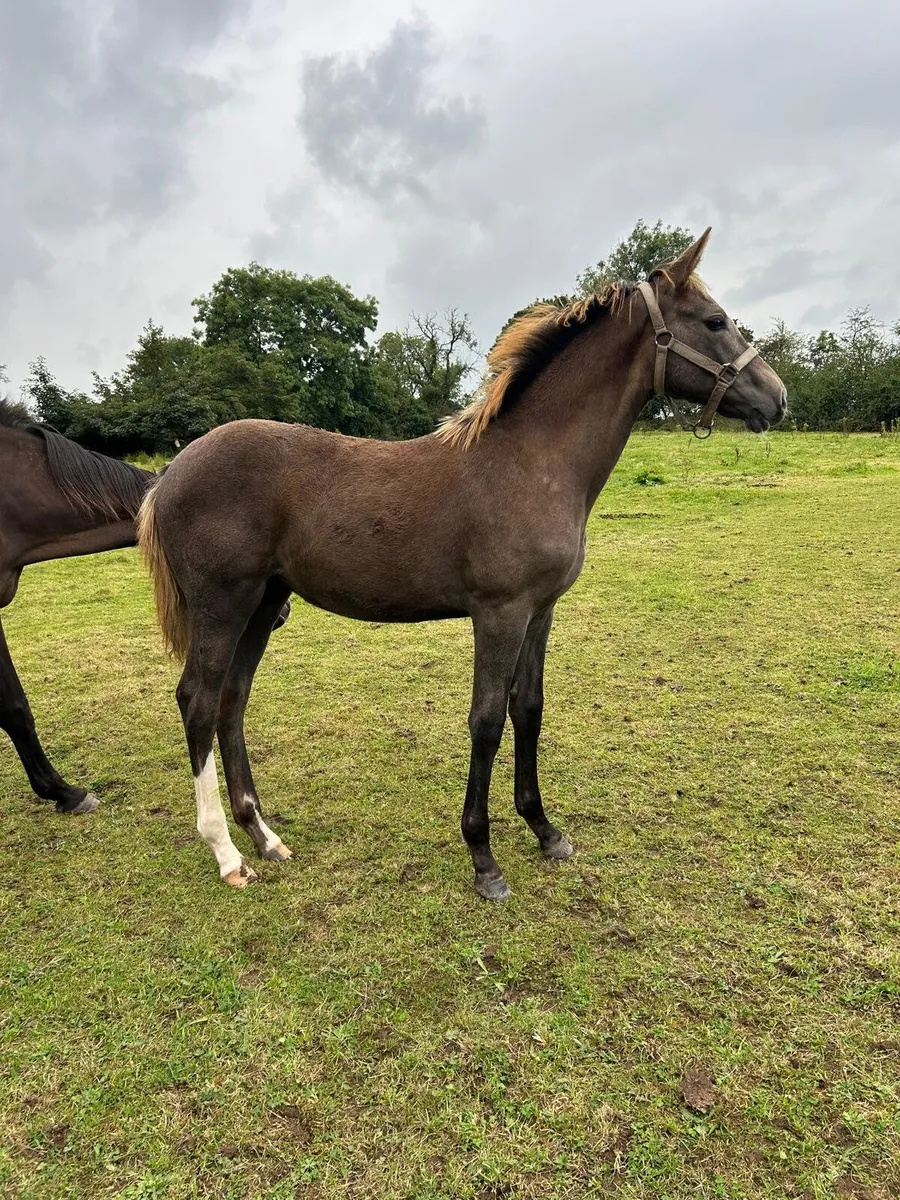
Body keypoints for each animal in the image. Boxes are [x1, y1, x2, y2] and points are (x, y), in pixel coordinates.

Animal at [138, 230, 787, 898]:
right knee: (197, 701)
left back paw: (264, 836)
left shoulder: (540, 611)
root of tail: (170, 473)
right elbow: (487, 720)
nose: (777, 397)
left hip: (263, 605)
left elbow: (529, 709)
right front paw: (484, 857)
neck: (531, 459)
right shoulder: (499, 613)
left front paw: (545, 830)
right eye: (714, 322)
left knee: (231, 702)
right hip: (224, 604)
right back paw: (225, 851)